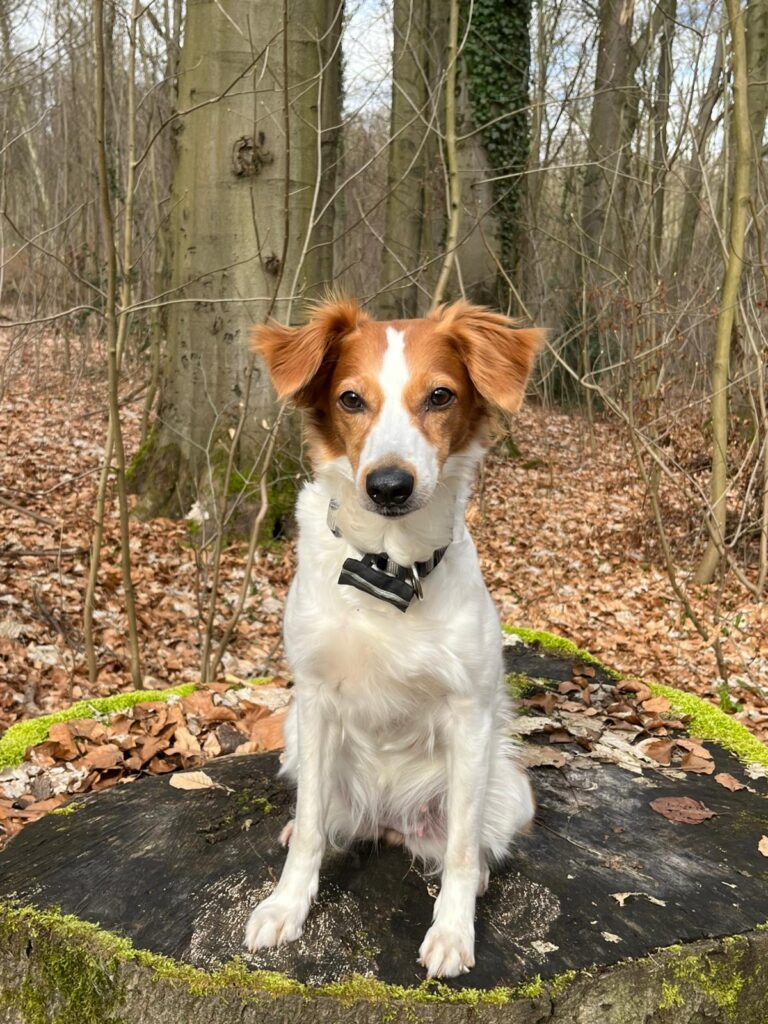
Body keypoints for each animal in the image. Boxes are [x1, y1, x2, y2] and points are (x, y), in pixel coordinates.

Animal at [245, 298, 542, 978]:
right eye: (352, 399)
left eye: (440, 395)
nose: (388, 485)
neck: (388, 570)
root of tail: (387, 819)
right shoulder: (315, 701)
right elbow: (309, 829)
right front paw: (286, 906)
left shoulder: (469, 713)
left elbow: (460, 848)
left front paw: (454, 932)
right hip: (296, 740)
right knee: (326, 818)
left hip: (511, 789)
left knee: (470, 838)